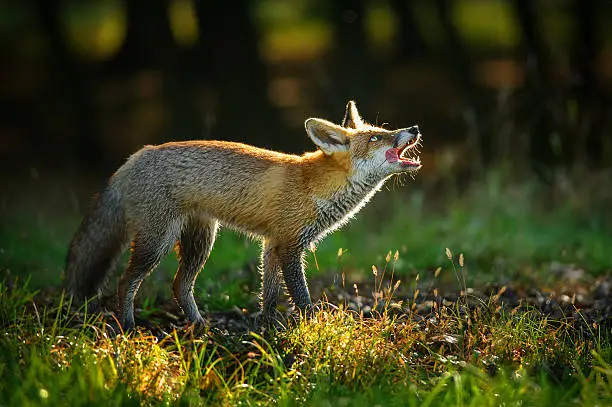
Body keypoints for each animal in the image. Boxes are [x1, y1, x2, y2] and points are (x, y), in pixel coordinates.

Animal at [64, 100, 424, 330]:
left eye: (383, 131)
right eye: (376, 137)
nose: (415, 127)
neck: (314, 186)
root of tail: (135, 156)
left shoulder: (272, 245)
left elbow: (270, 295)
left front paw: (267, 330)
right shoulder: (290, 245)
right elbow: (302, 297)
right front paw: (314, 329)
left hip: (201, 241)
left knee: (179, 285)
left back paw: (200, 327)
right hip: (158, 242)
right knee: (126, 282)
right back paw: (127, 326)